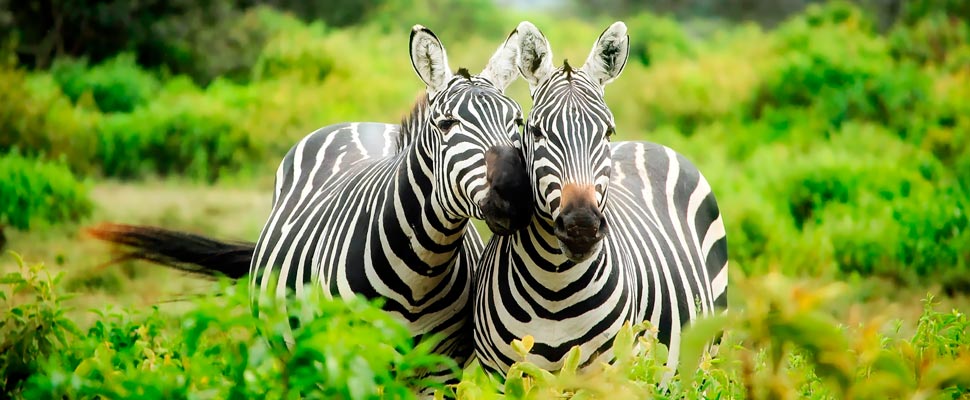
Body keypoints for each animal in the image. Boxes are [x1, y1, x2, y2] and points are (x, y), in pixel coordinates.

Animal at [87, 25, 532, 382]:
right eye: (446, 124)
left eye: (518, 122)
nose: (516, 195)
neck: (421, 271)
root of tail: (361, 124)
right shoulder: (348, 359)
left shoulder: (440, 372)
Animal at [468, 21, 728, 378]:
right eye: (536, 132)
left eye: (607, 132)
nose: (581, 227)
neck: (554, 287)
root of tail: (647, 143)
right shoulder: (503, 375)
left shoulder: (608, 372)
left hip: (707, 354)